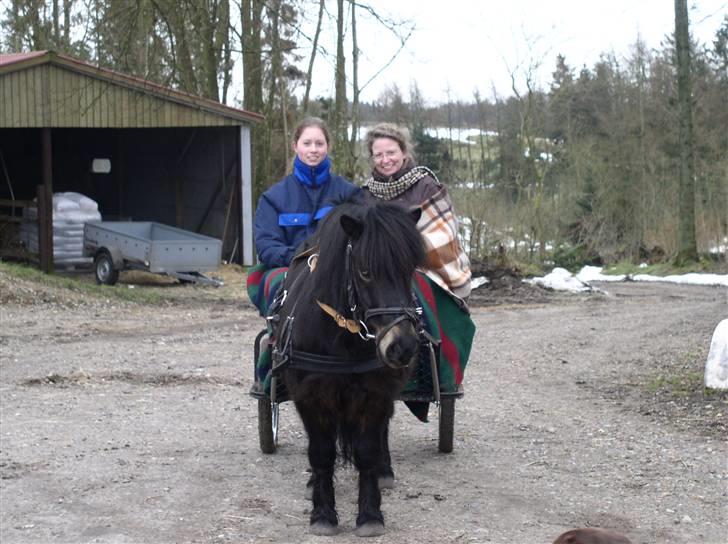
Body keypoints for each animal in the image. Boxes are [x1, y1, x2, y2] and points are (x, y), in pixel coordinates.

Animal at [270, 197, 424, 536]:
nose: (403, 346)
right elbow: (321, 452)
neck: (343, 337)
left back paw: (384, 471)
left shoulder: (375, 394)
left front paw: (370, 515)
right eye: (365, 271)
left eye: (410, 268)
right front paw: (323, 514)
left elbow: (368, 451)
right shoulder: (310, 396)